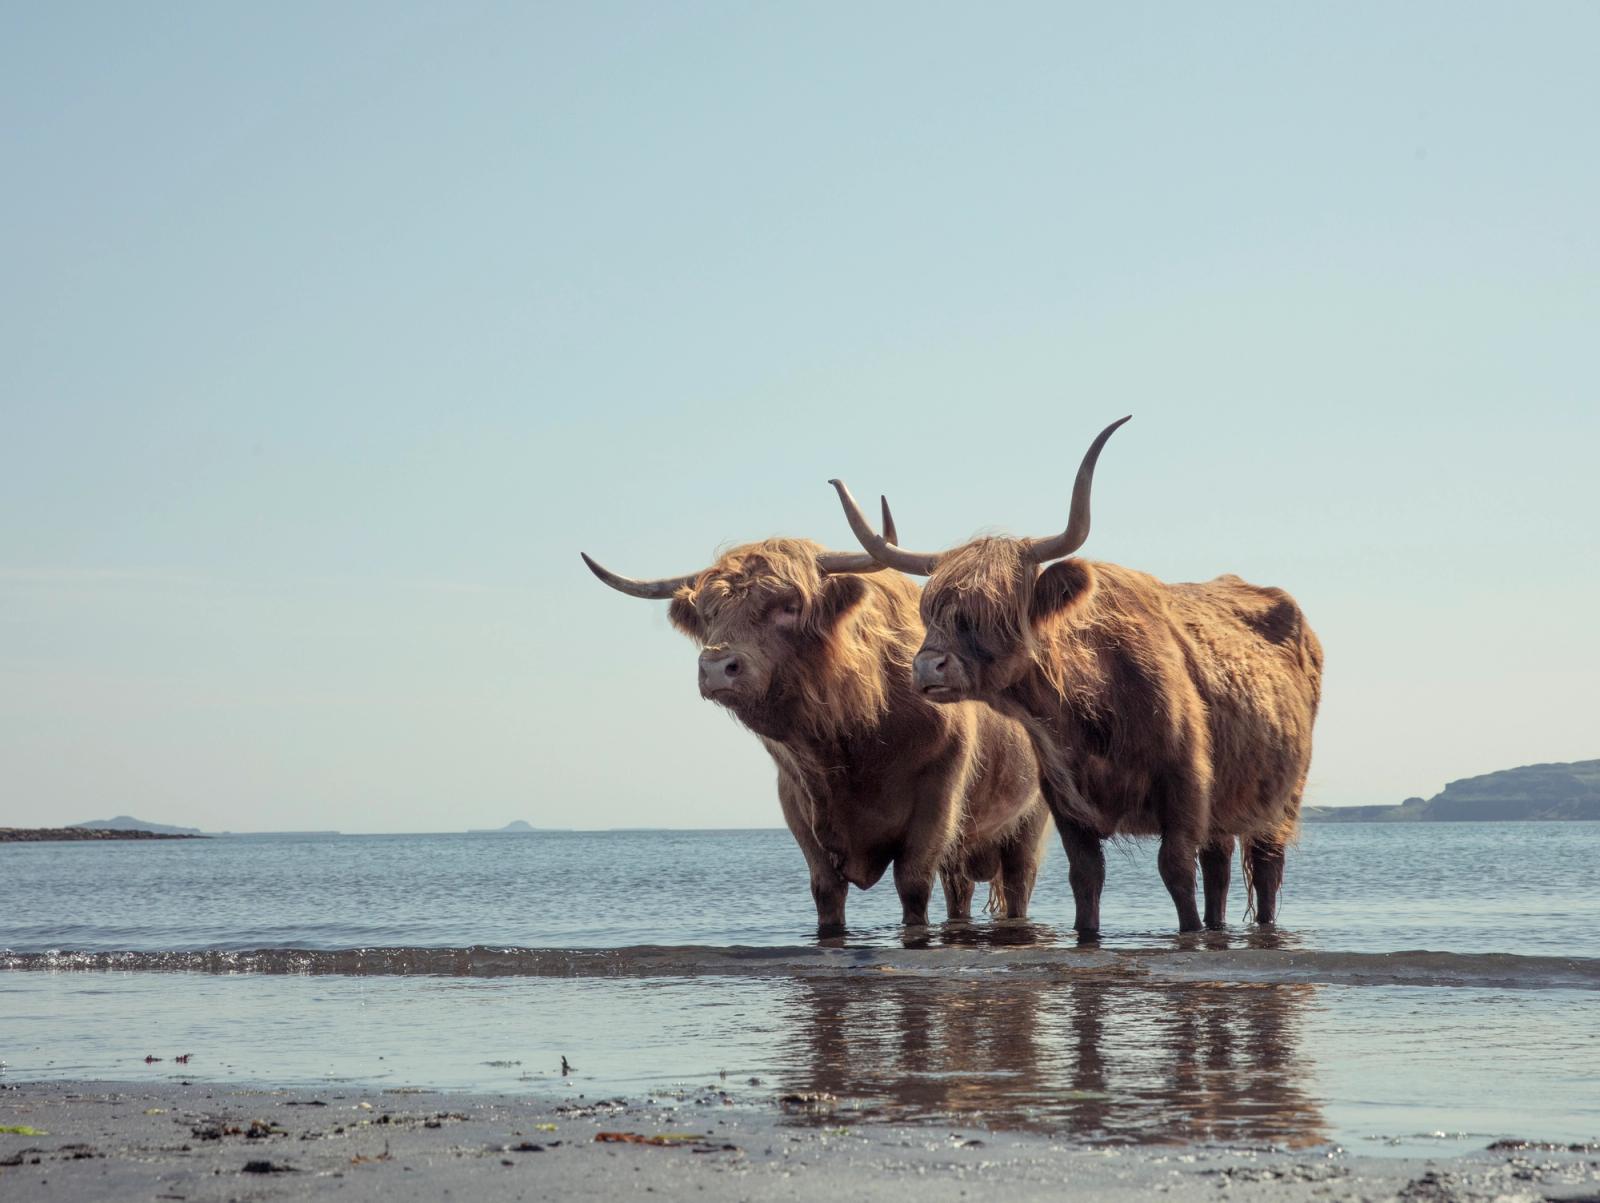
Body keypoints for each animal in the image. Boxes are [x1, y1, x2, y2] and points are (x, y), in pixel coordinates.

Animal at [581, 530, 1050, 933]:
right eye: (709, 613)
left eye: (788, 606)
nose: (716, 667)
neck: (849, 732)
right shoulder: (796, 799)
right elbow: (825, 890)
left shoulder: (937, 796)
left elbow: (913, 885)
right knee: (960, 890)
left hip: (1030, 820)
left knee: (1018, 882)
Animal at [829, 417, 1323, 937]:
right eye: (929, 610)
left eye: (994, 610)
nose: (927, 667)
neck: (1089, 707)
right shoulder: (1066, 805)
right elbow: (1085, 878)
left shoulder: (1185, 791)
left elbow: (1176, 872)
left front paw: (1189, 932)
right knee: (1219, 868)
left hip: (1282, 800)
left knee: (1265, 869)